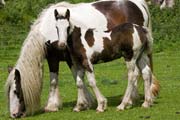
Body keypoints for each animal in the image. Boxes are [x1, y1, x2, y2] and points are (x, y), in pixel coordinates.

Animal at [5, 0, 159, 118]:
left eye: (16, 91)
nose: (14, 114)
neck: (47, 31)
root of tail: (139, 4)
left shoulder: (66, 59)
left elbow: (64, 81)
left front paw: (55, 105)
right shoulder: (59, 58)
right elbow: (75, 80)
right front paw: (85, 103)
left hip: (130, 56)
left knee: (134, 75)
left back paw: (128, 102)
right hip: (139, 56)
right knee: (145, 73)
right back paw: (144, 101)